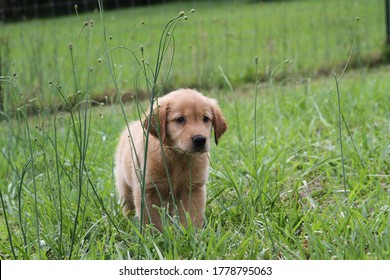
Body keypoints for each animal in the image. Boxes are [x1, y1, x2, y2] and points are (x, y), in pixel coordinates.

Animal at [114, 88, 227, 231]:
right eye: (180, 119)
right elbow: (152, 221)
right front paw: (156, 235)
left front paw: (191, 234)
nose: (200, 140)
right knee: (128, 206)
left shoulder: (193, 189)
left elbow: (192, 216)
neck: (177, 156)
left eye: (205, 118)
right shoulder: (148, 189)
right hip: (124, 187)